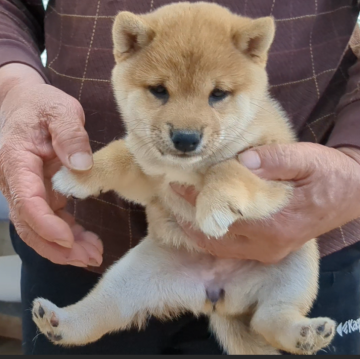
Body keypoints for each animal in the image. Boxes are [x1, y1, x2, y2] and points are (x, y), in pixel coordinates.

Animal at [32, 1, 336, 356]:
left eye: (218, 94)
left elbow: (230, 168)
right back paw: (56, 322)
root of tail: (217, 296)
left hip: (297, 264)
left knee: (271, 317)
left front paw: (214, 207)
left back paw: (306, 333)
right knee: (100, 313)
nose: (186, 138)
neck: (186, 168)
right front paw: (80, 173)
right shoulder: (149, 180)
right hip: (130, 278)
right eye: (159, 91)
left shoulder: (271, 170)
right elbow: (119, 152)